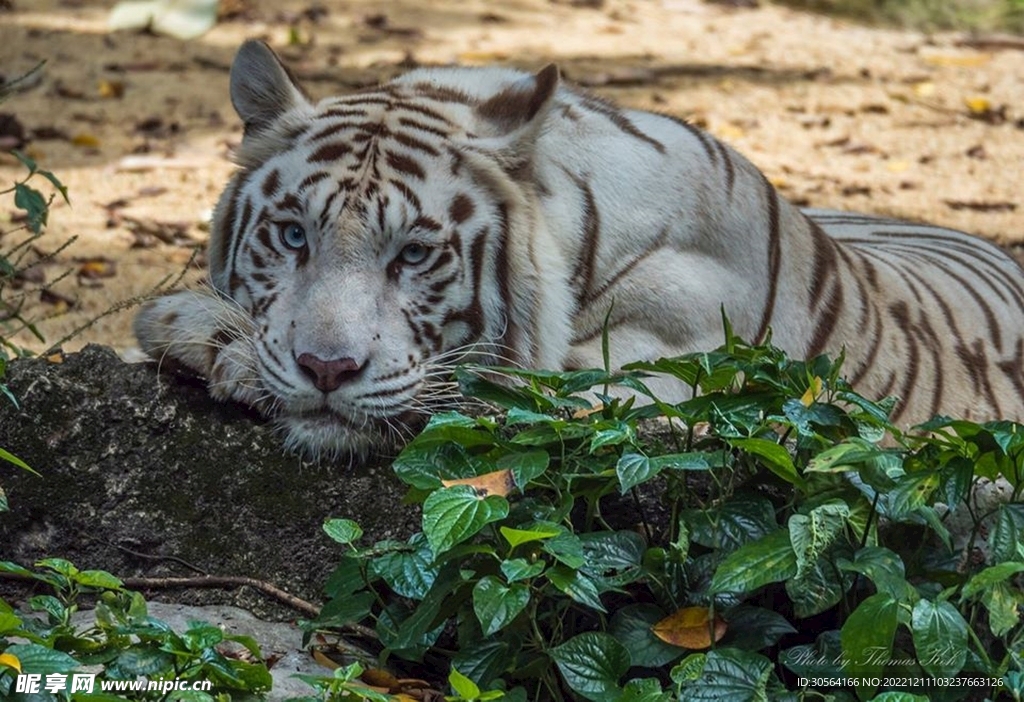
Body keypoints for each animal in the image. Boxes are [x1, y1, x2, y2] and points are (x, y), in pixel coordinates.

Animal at [133, 39, 1024, 459]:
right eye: (292, 235)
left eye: (414, 255)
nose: (326, 370)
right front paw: (199, 326)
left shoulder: (656, 385)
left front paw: (206, 335)